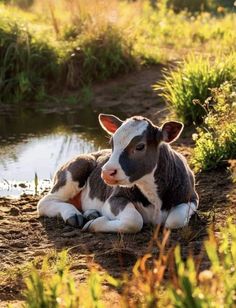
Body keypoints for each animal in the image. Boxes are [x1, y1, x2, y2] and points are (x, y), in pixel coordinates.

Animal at [37, 114, 198, 232]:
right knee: (45, 202)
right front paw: (94, 224)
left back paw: (91, 213)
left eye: (140, 146)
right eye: (112, 144)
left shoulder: (192, 197)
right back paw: (73, 214)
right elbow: (134, 220)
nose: (106, 172)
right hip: (77, 167)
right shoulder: (113, 199)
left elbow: (174, 221)